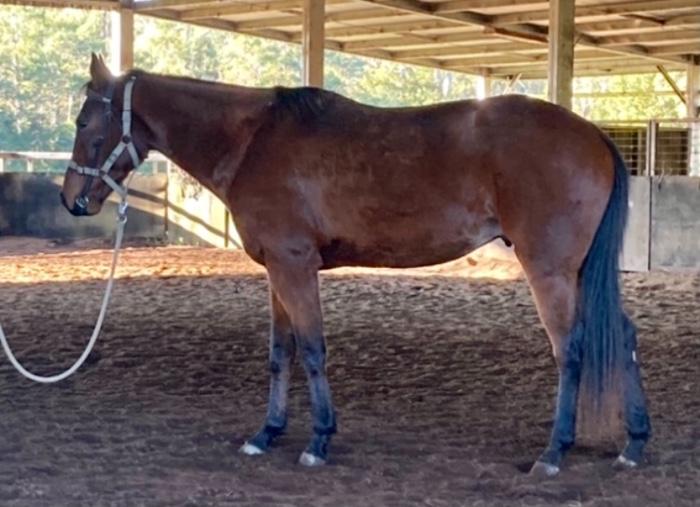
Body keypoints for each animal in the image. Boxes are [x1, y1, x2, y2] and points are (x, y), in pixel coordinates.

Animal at [61, 54, 650, 476]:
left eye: (87, 121)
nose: (72, 200)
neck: (252, 142)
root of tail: (592, 133)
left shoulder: (294, 266)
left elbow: (312, 350)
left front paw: (319, 440)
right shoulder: (276, 270)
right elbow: (281, 353)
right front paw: (266, 434)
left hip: (550, 270)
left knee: (570, 350)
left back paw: (554, 453)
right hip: (576, 271)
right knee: (621, 334)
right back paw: (634, 443)